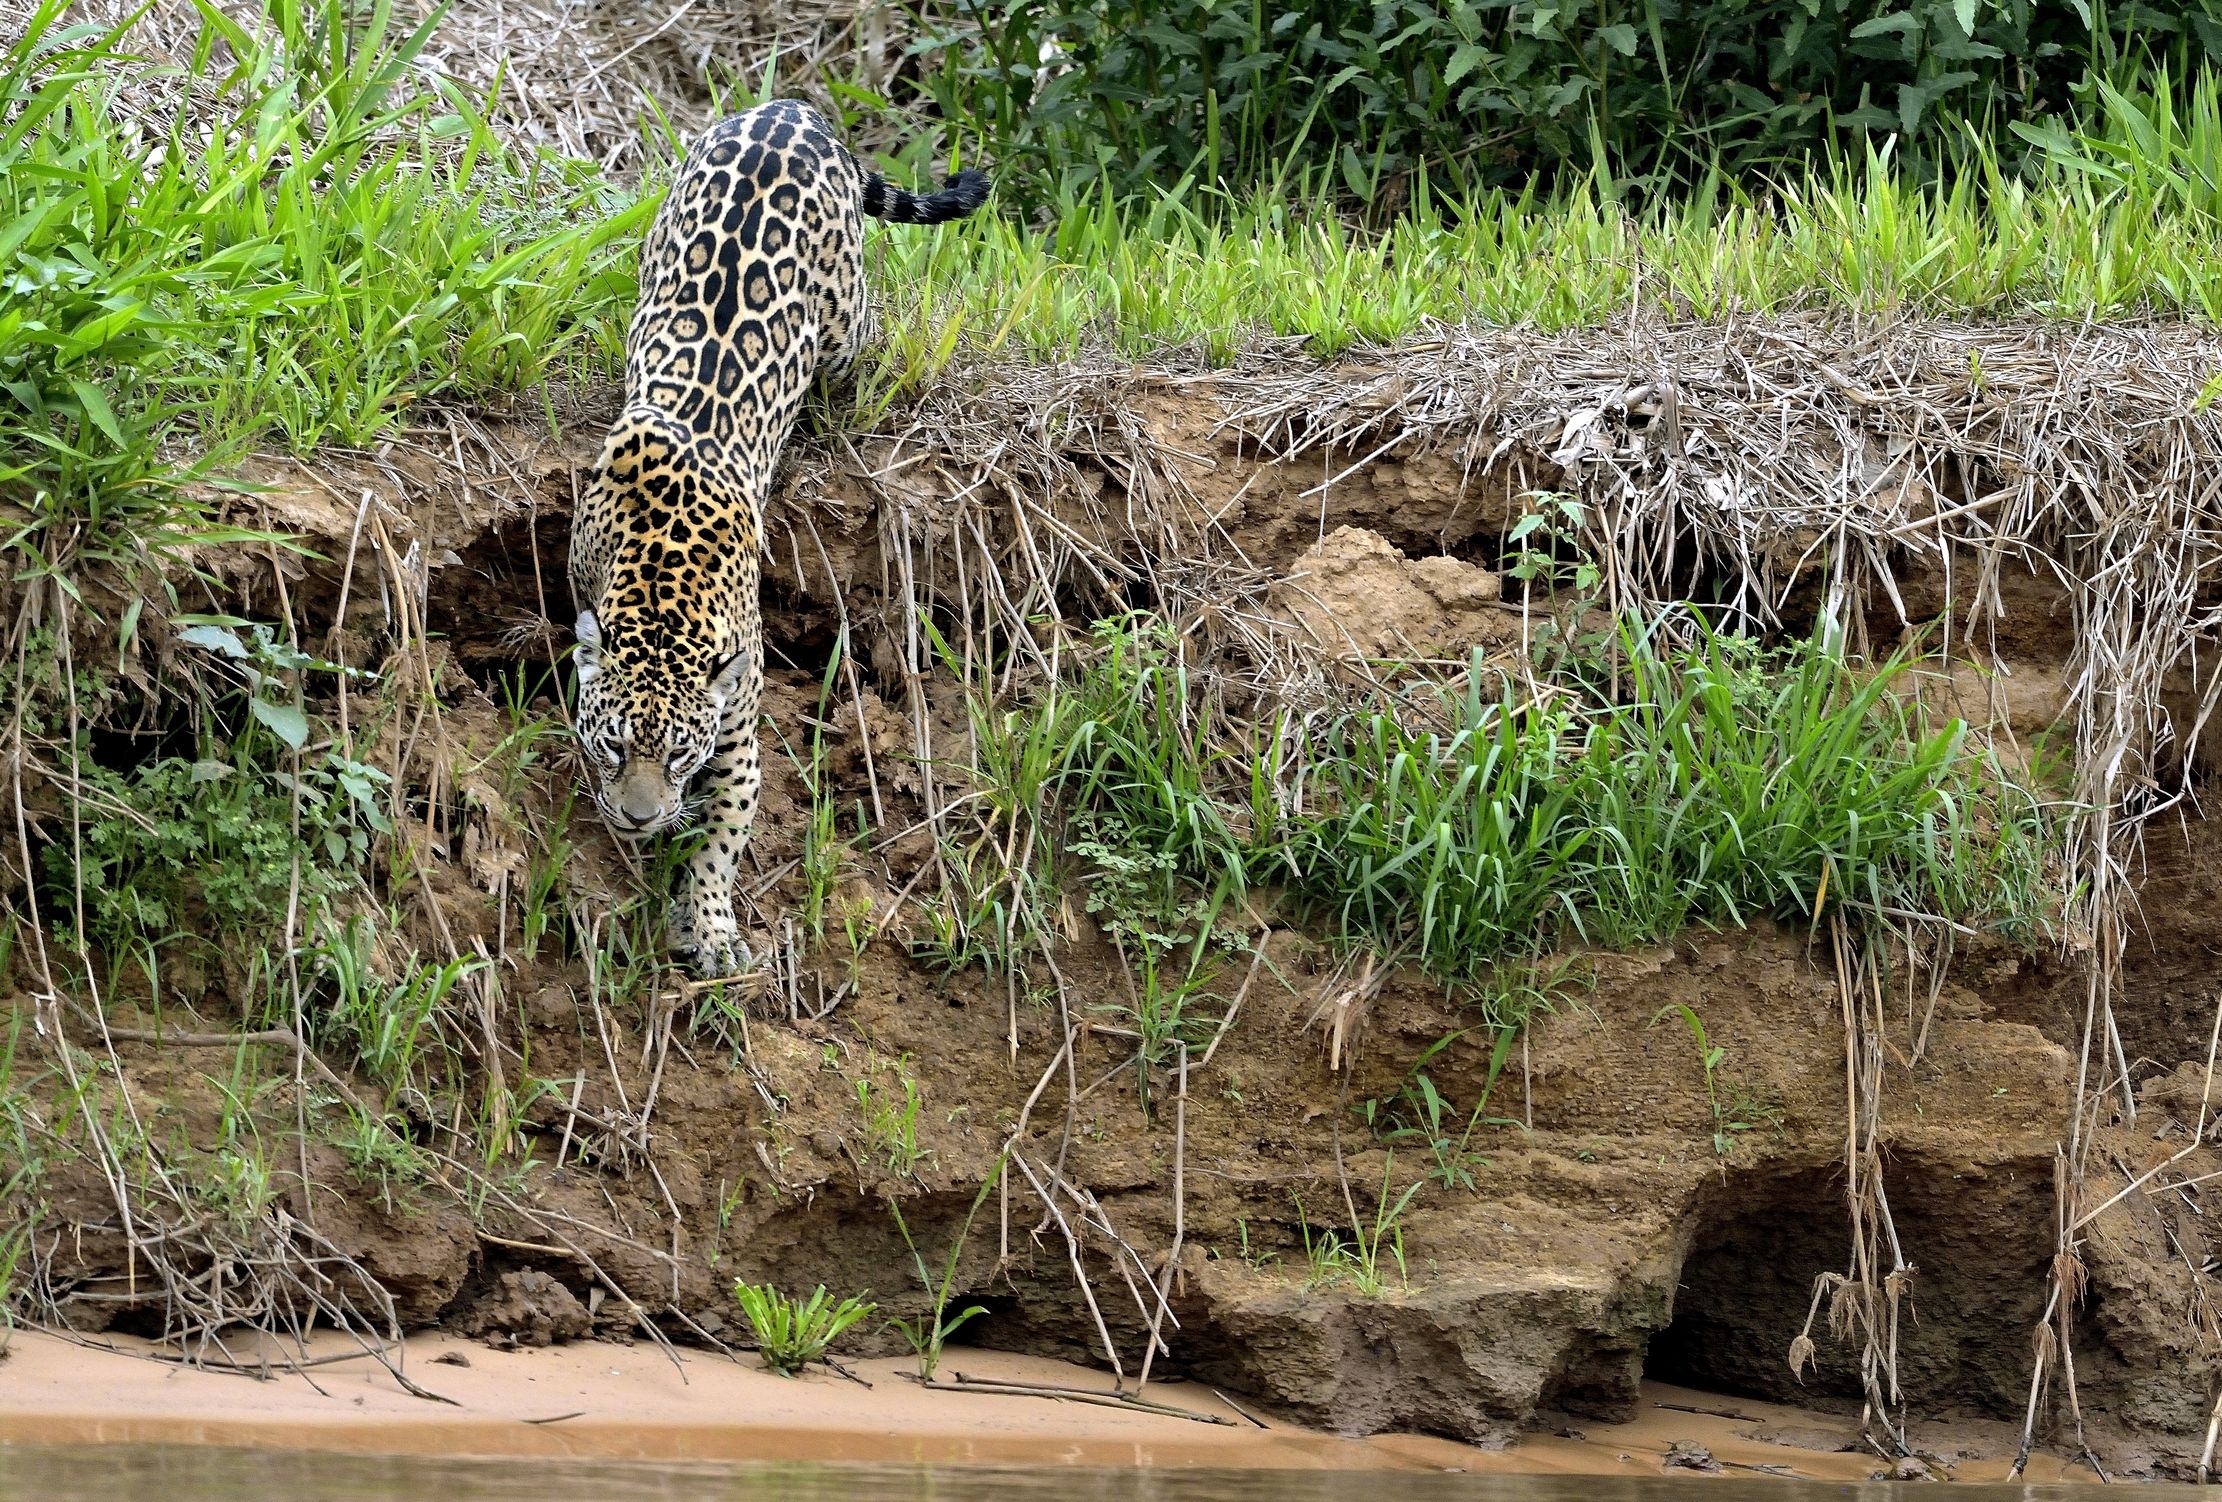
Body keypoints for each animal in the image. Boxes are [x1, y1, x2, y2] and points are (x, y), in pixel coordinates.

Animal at [568, 100, 990, 977]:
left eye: (679, 756)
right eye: (615, 745)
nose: (637, 818)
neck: (660, 589)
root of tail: (792, 108)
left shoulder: (735, 735)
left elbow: (724, 835)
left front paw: (711, 927)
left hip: (843, 323)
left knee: (862, 341)